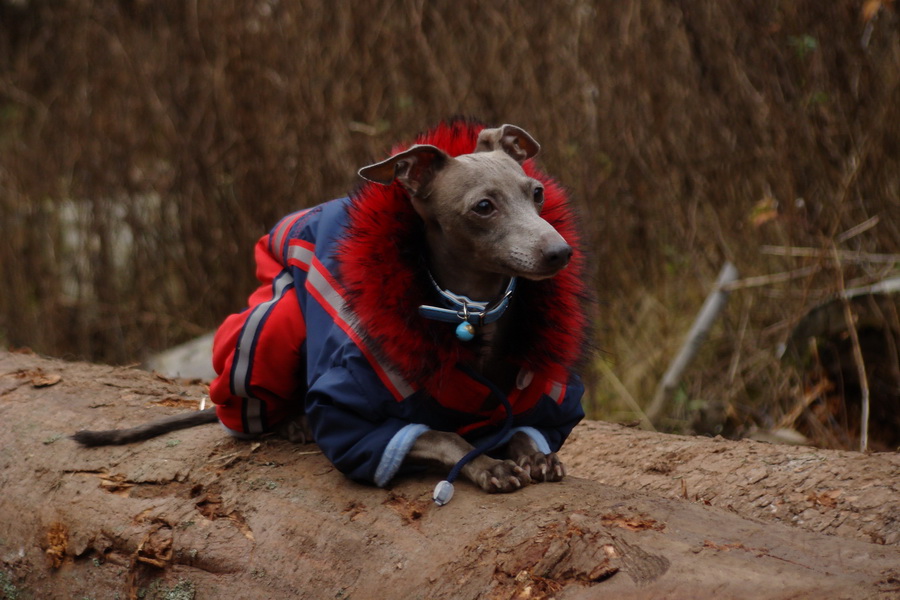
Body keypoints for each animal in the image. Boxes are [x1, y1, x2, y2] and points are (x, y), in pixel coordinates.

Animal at [72, 119, 592, 504]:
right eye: (484, 206)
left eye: (536, 193)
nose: (560, 253)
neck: (470, 313)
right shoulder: (352, 422)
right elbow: (445, 437)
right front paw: (489, 465)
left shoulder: (545, 394)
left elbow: (528, 429)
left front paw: (534, 454)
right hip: (278, 322)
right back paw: (294, 421)